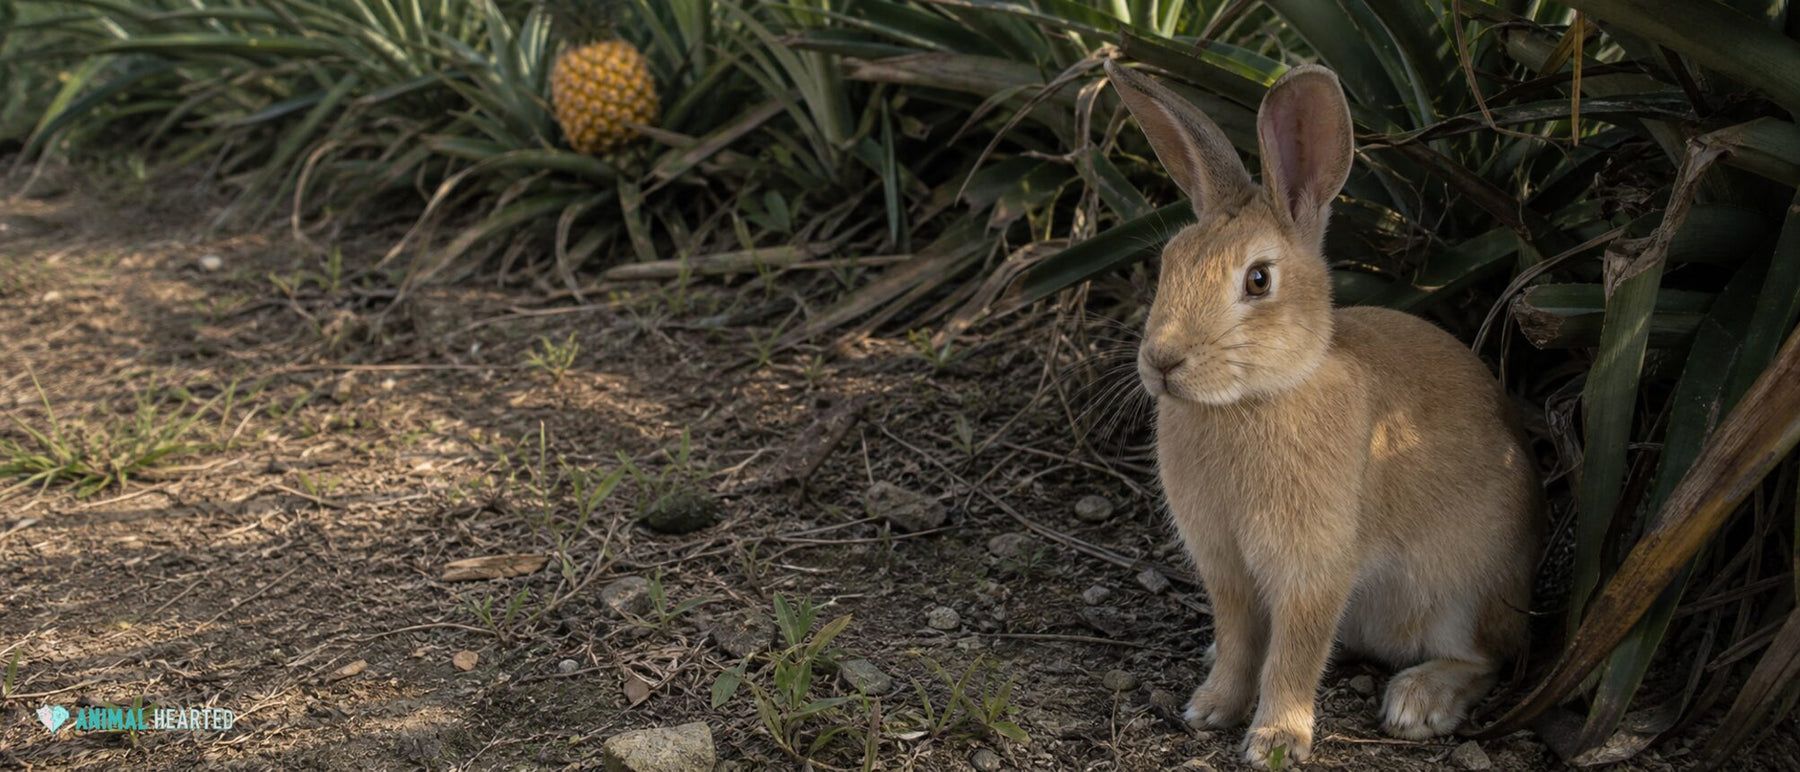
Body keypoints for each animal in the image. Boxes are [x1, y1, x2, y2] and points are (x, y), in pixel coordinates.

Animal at [1103, 58, 1540, 768]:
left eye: (1258, 280)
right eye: (1169, 265)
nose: (1162, 361)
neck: (1257, 397)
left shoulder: (1314, 568)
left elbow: (1298, 652)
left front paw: (1275, 741)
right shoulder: (1224, 567)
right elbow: (1239, 636)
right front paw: (1211, 708)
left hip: (1463, 592)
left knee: (1487, 657)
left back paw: (1420, 702)